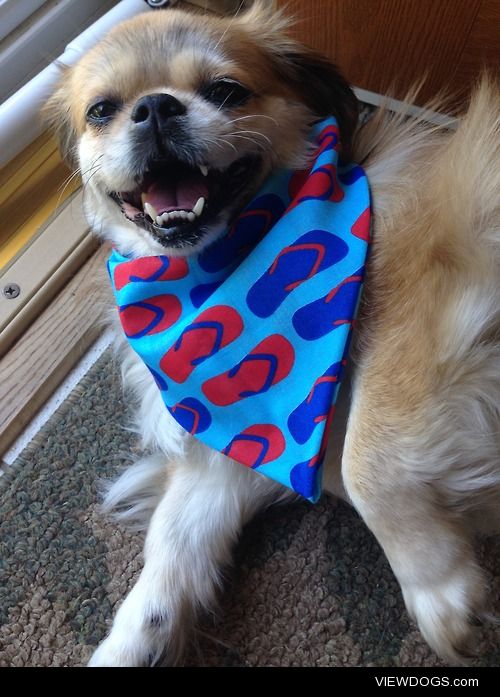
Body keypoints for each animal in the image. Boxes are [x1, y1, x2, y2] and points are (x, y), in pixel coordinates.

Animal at [44, 1, 500, 668]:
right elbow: (170, 550)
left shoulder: (430, 310)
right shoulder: (241, 444)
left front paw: (439, 589)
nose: (154, 107)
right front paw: (126, 647)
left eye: (225, 91)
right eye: (102, 110)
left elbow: (368, 460)